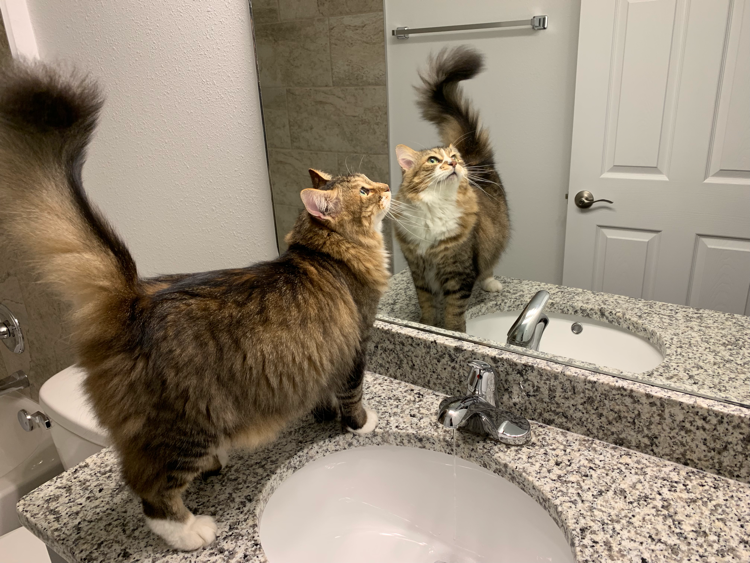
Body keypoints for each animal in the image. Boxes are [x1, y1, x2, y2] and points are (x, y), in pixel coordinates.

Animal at [0, 60, 391, 551]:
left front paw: (325, 416)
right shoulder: (356, 343)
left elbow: (323, 393)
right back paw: (191, 530)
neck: (324, 254)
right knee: (151, 492)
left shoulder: (324, 355)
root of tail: (131, 300)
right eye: (364, 192)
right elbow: (352, 394)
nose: (387, 185)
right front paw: (360, 423)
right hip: (185, 429)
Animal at [391, 46, 510, 332]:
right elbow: (427, 304)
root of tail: (477, 158)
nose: (455, 163)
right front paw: (427, 324)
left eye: (453, 156)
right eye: (433, 160)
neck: (434, 209)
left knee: (489, 263)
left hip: (496, 235)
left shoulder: (459, 270)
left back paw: (490, 283)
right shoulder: (419, 269)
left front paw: (452, 331)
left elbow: (455, 310)